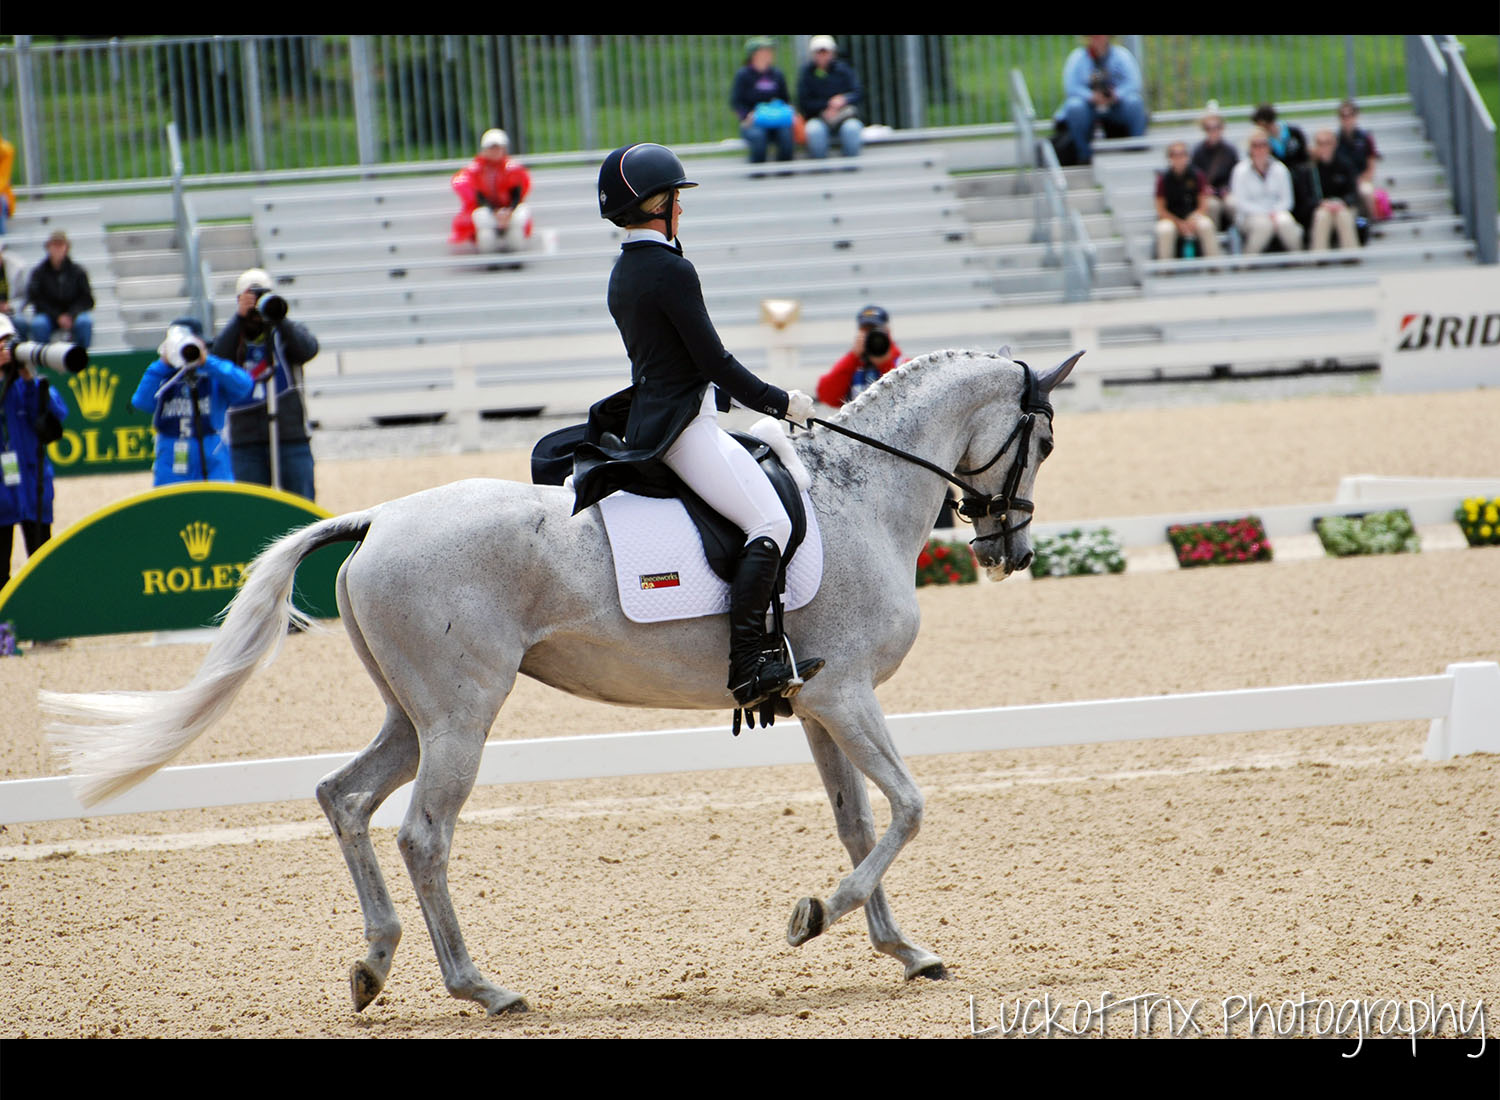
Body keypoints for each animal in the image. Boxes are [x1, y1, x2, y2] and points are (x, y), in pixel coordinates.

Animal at [43, 348, 1080, 1014]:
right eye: (1043, 442)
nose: (1012, 551)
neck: (860, 493)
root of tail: (377, 521)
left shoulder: (817, 702)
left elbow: (860, 822)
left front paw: (901, 948)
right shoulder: (846, 694)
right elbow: (909, 807)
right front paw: (812, 916)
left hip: (414, 716)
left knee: (344, 798)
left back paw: (374, 967)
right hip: (462, 714)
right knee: (422, 833)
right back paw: (481, 987)